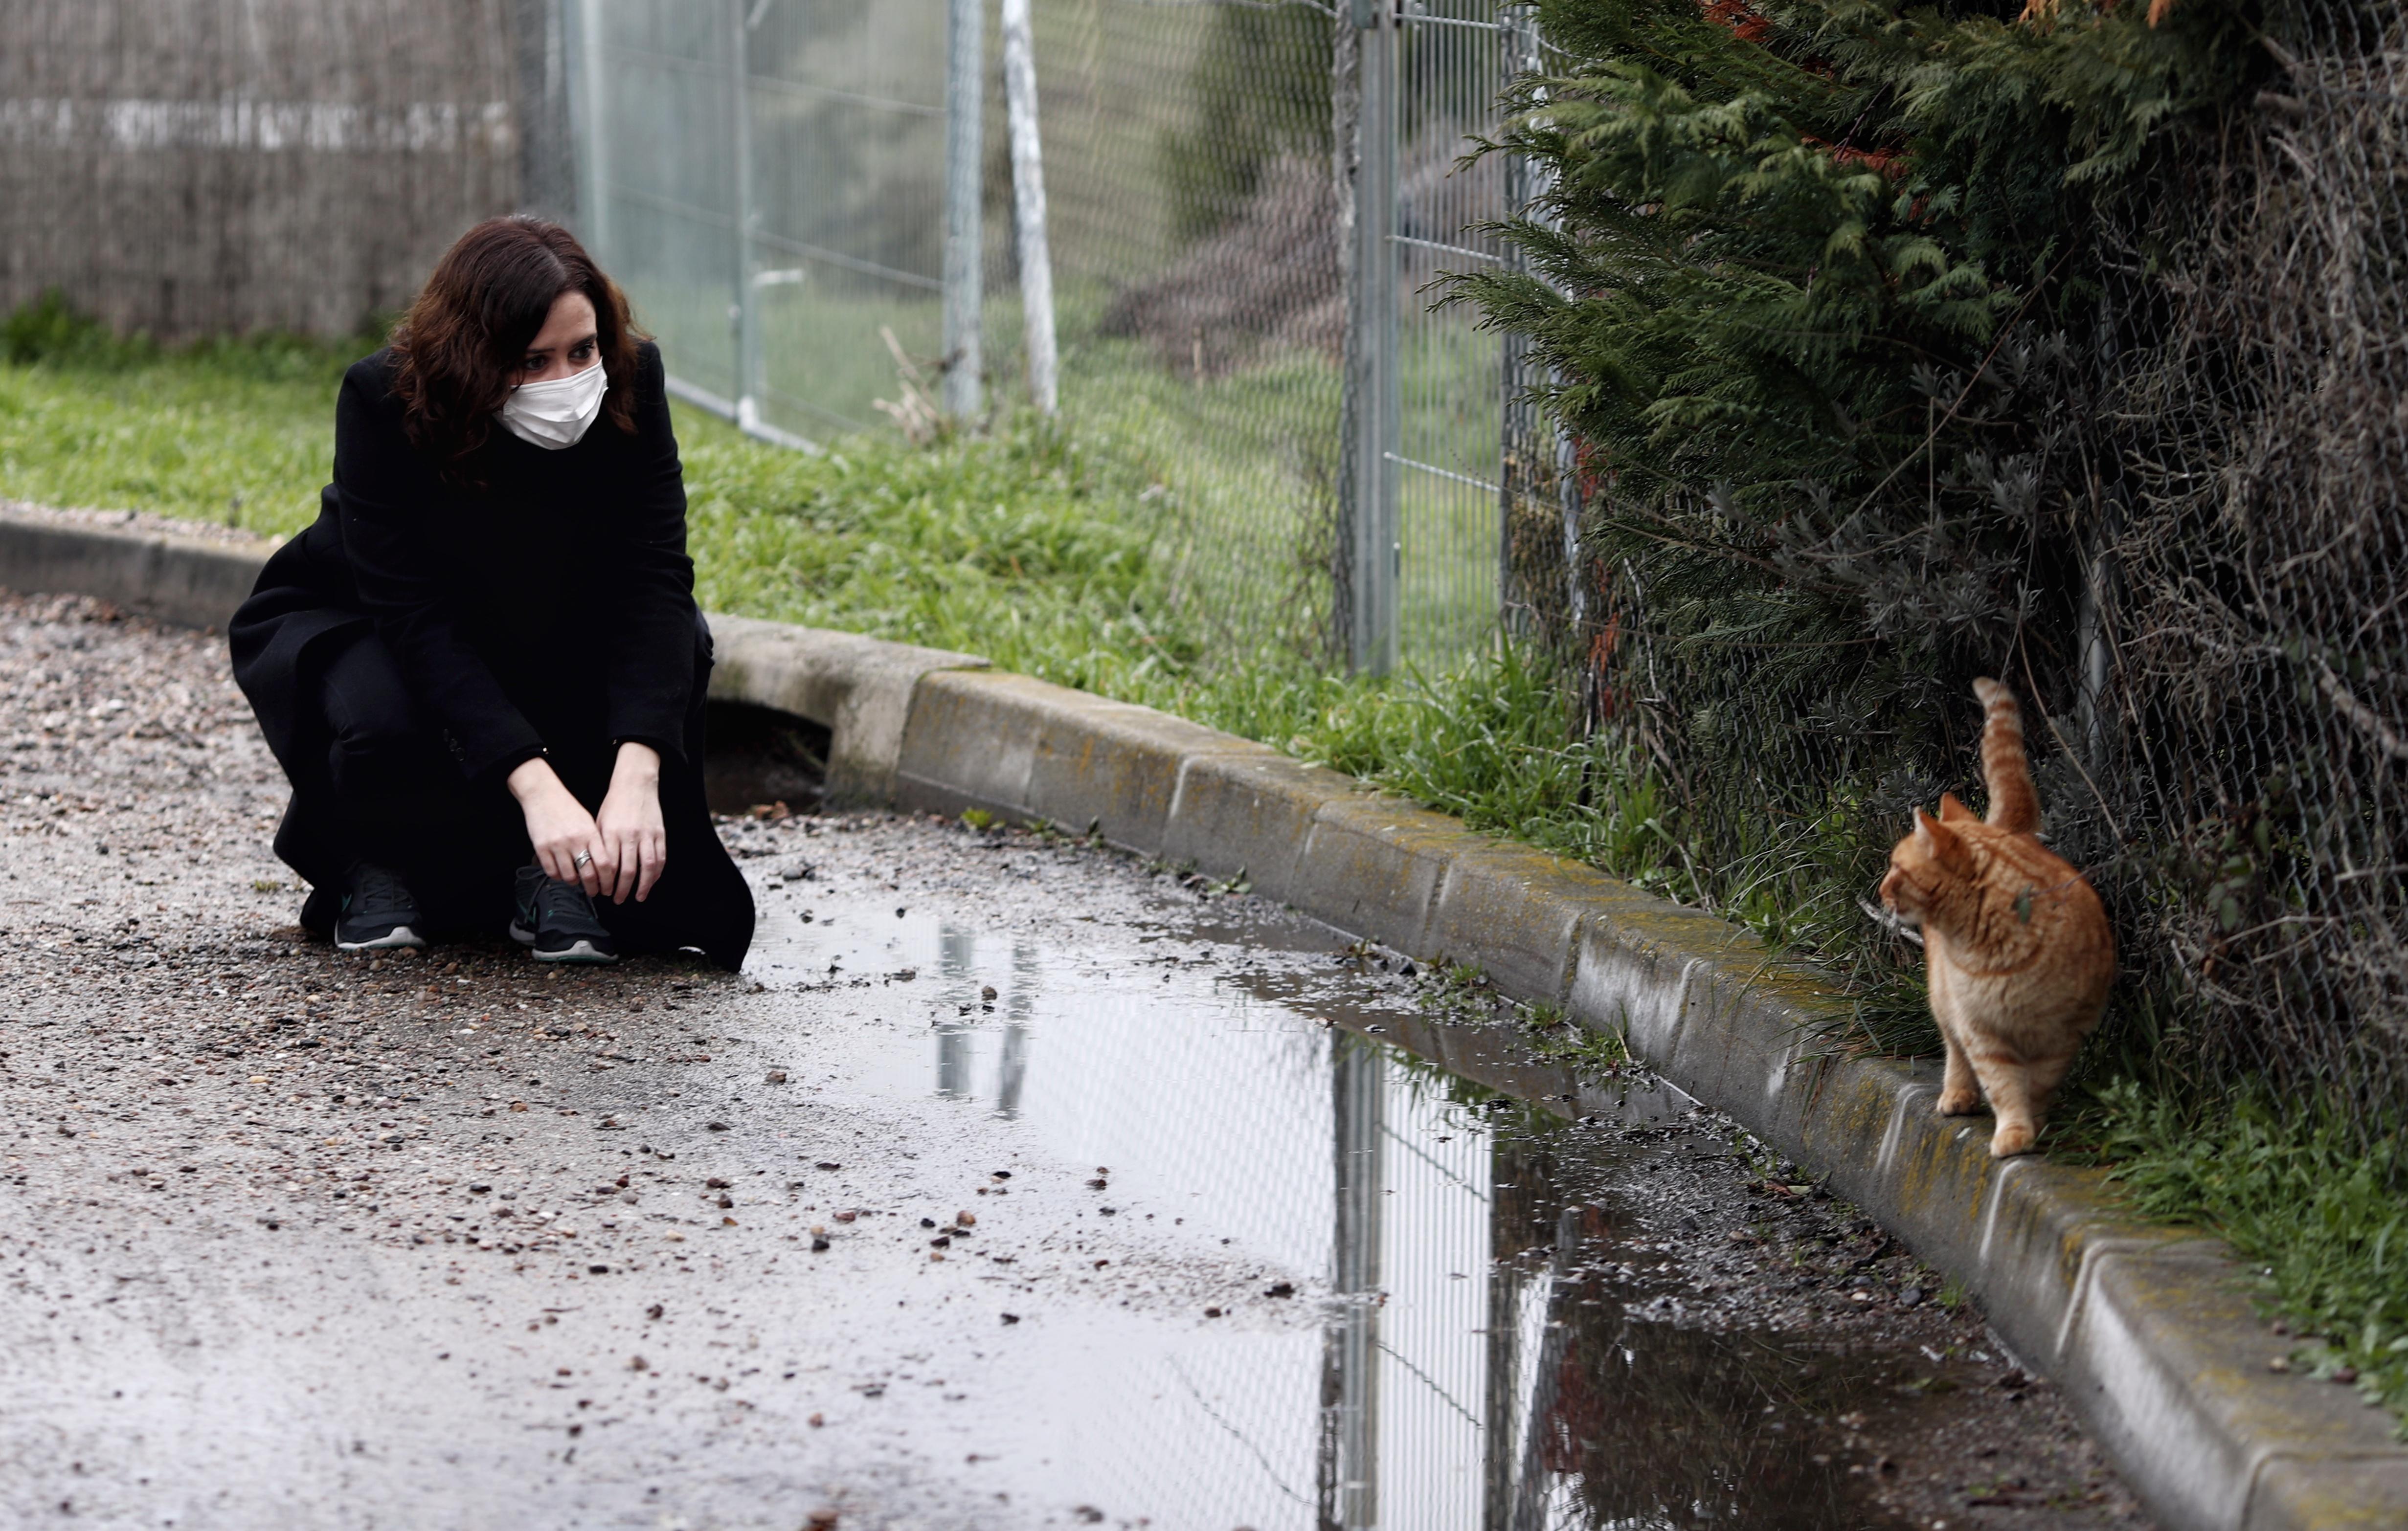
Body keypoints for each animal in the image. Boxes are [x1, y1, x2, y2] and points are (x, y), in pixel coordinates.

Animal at [1868, 674, 2119, 1155]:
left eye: (1896, 869)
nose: (1880, 891)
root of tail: (2007, 829)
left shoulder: (2062, 1034)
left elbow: (2038, 1083)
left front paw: (2032, 1124)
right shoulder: (1981, 1030)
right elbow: (2002, 1082)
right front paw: (2015, 1130)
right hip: (1945, 1003)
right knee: (1953, 1050)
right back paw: (1958, 1094)